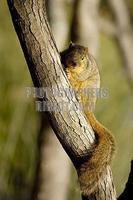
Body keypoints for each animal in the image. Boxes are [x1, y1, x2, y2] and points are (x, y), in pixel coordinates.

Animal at [60, 42, 115, 197]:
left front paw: (70, 73)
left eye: (83, 58)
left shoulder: (83, 73)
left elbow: (78, 76)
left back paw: (78, 97)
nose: (74, 63)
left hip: (87, 89)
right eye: (70, 52)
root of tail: (89, 109)